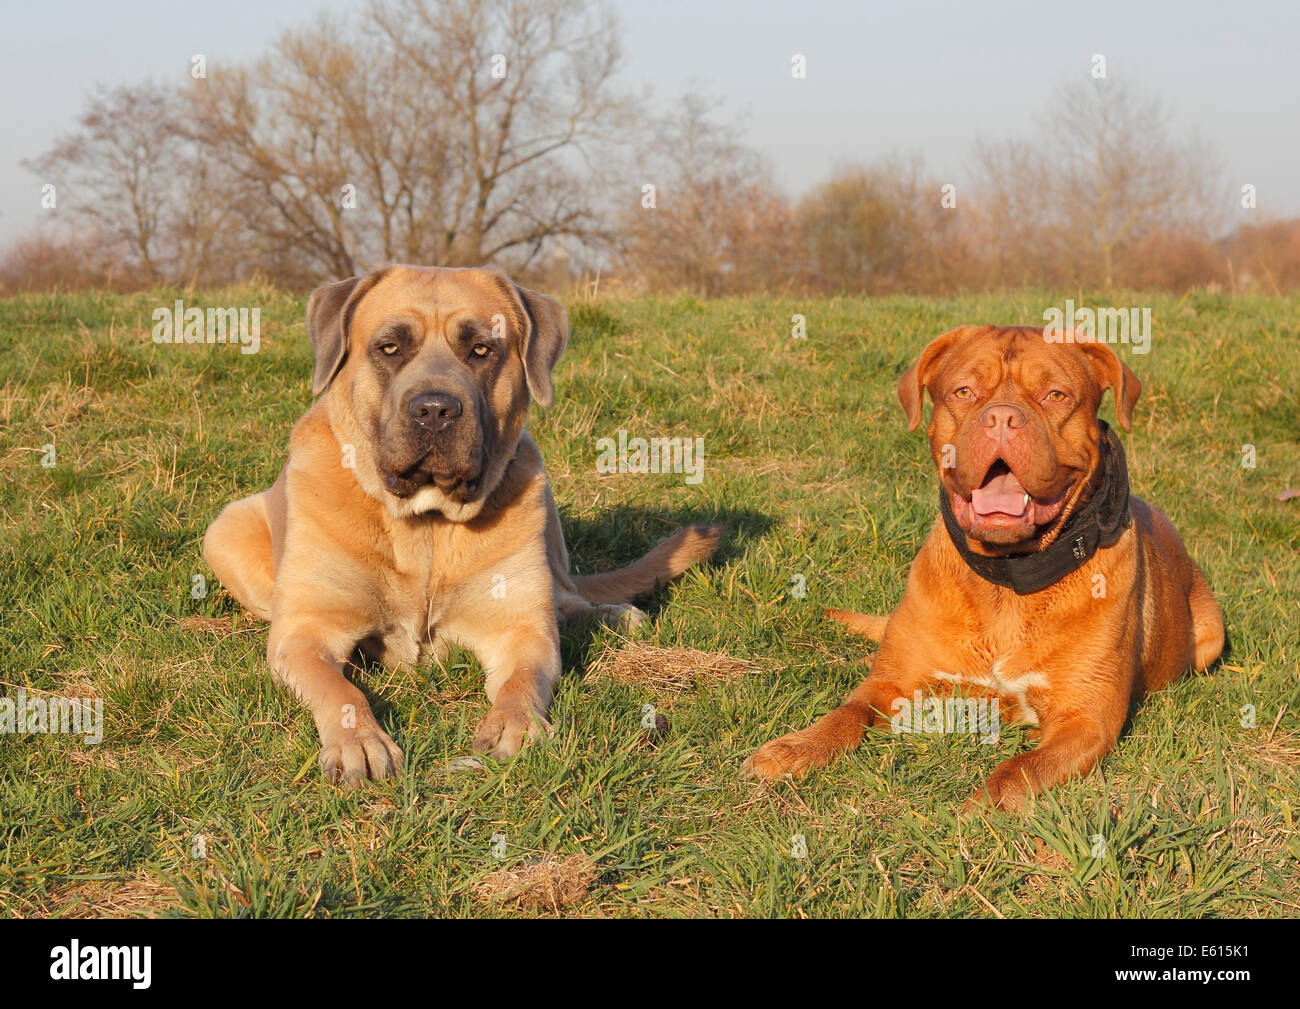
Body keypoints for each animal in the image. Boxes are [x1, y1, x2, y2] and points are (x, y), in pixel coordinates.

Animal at [202, 263, 722, 785]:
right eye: (390, 347)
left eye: (481, 349)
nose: (435, 409)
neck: (426, 525)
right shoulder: (305, 634)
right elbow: (339, 689)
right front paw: (358, 742)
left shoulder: (519, 629)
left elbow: (522, 679)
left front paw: (517, 725)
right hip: (225, 530)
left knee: (565, 597)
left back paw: (612, 615)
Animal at [748, 327, 1222, 806]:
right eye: (964, 391)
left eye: (1055, 394)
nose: (1001, 418)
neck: (1008, 579)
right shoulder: (890, 685)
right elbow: (846, 713)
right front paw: (795, 748)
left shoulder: (1086, 720)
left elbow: (1015, 773)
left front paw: (975, 812)